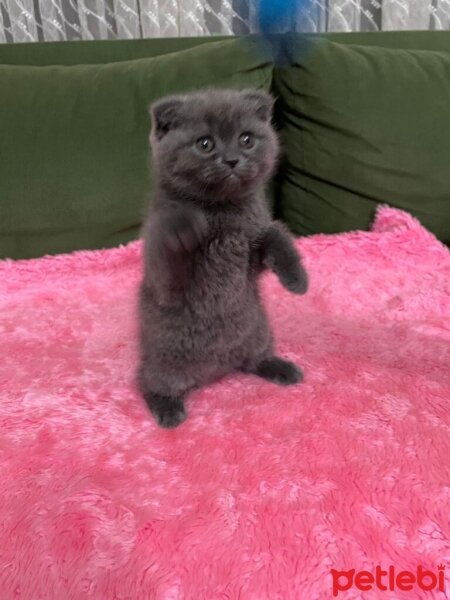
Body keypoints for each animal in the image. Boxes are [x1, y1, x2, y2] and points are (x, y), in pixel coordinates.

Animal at [137, 88, 308, 426]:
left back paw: (279, 367)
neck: (223, 210)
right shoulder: (163, 276)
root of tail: (217, 369)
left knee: (254, 360)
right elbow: (169, 238)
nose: (231, 159)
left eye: (246, 139)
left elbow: (274, 234)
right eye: (205, 144)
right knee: (148, 383)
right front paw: (186, 225)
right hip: (163, 361)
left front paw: (297, 279)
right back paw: (168, 409)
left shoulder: (253, 249)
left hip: (260, 331)